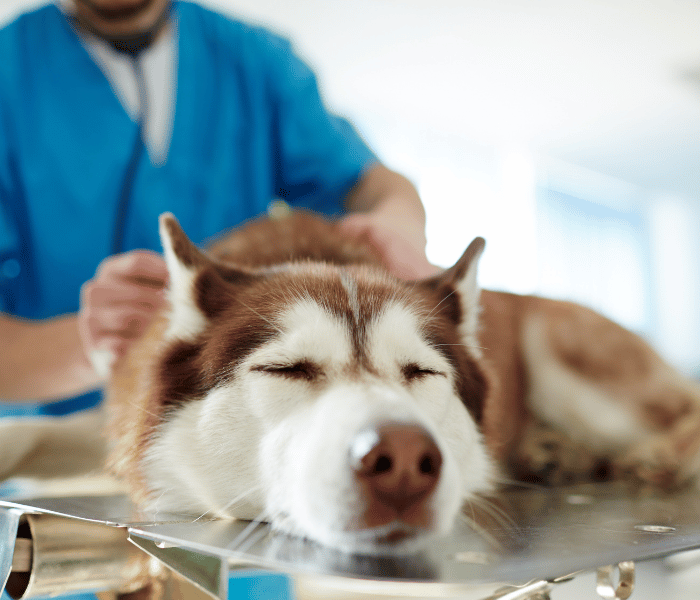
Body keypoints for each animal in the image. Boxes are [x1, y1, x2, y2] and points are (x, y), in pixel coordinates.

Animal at [1, 211, 700, 552]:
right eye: (286, 369)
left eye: (421, 373)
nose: (405, 461)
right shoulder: (117, 421)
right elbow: (29, 434)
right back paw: (551, 451)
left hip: (563, 353)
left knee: (680, 408)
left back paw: (655, 455)